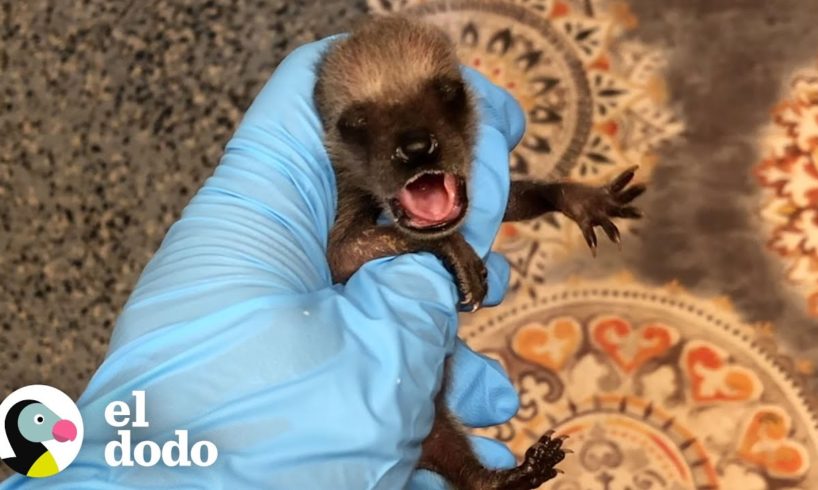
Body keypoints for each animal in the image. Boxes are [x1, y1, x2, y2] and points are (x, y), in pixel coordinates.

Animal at [312, 15, 644, 490]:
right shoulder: (344, 198)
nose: (416, 147)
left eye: (448, 93)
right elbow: (342, 254)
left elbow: (511, 200)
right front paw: (455, 252)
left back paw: (518, 473)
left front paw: (580, 199)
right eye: (355, 123)